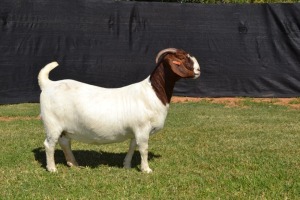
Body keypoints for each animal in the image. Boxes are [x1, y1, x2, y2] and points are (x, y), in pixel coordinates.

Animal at [38, 47, 200, 173]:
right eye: (181, 58)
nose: (198, 70)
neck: (152, 93)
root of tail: (48, 84)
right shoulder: (142, 128)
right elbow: (143, 148)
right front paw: (146, 169)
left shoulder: (136, 130)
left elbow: (132, 146)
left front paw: (126, 165)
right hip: (52, 124)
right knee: (49, 144)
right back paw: (52, 168)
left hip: (64, 128)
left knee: (64, 142)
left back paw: (74, 164)